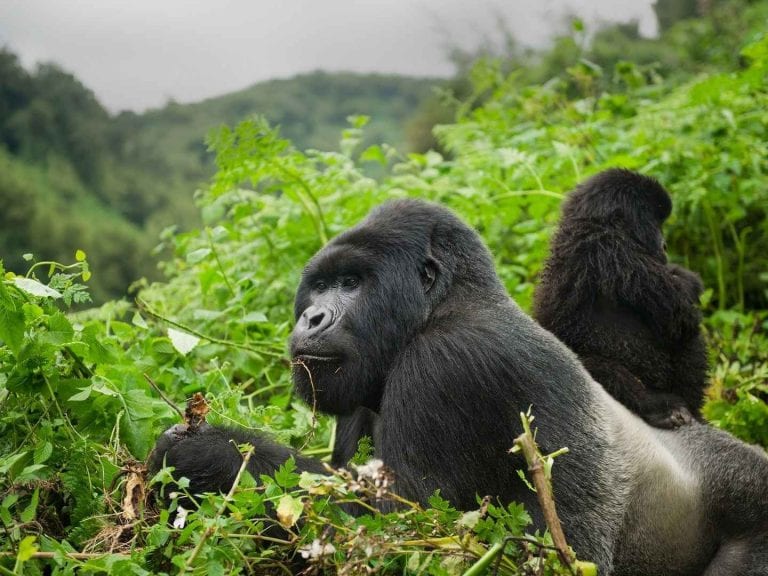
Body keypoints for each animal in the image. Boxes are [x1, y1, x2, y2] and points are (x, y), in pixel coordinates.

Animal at [152, 199, 768, 576]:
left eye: (350, 283)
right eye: (320, 286)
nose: (312, 318)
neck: (444, 303)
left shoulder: (449, 364)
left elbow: (404, 530)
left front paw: (207, 452)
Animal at [536, 169, 708, 430]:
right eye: (656, 224)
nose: (665, 246)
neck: (591, 224)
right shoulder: (619, 252)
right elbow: (680, 318)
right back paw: (659, 408)